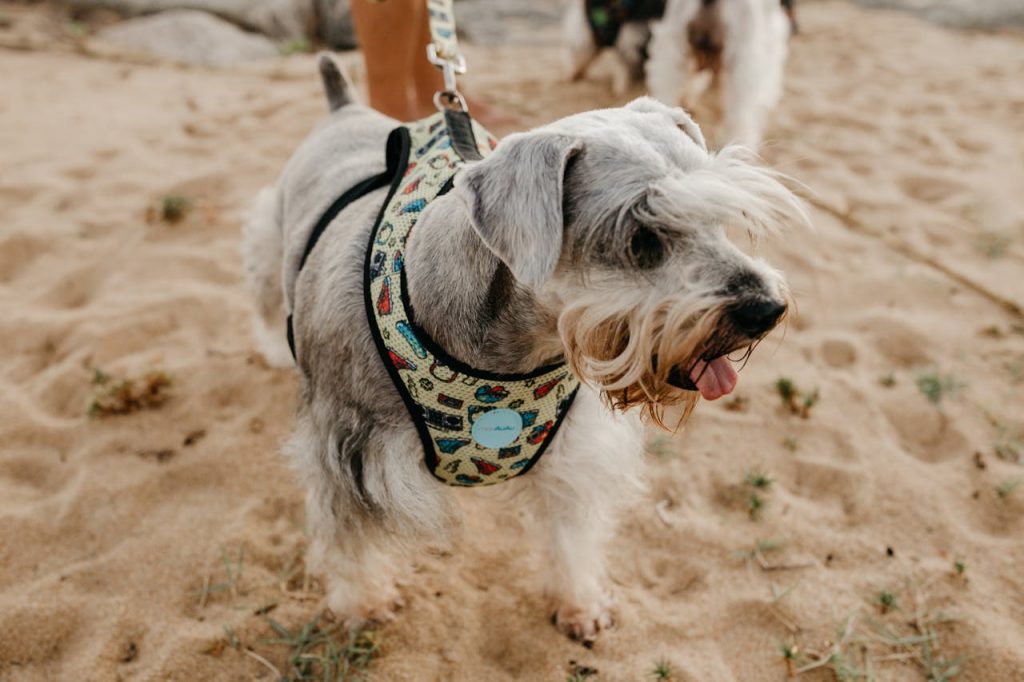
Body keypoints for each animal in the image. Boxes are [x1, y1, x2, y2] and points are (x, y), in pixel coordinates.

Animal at [243, 55, 802, 638]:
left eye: (719, 218)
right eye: (641, 238)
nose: (767, 310)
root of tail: (344, 108)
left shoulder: (574, 456)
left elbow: (571, 539)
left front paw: (579, 603)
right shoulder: (349, 452)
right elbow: (351, 544)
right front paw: (363, 608)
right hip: (269, 237)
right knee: (264, 295)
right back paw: (272, 348)